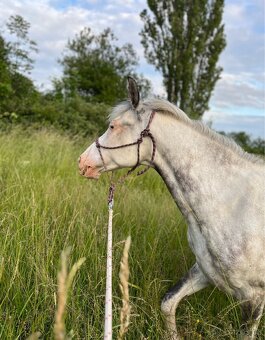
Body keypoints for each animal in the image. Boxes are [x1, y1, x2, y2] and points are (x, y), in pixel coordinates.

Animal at [78, 78, 264, 338]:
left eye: (113, 126)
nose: (82, 162)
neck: (230, 206)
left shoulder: (254, 298)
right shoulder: (204, 272)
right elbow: (168, 302)